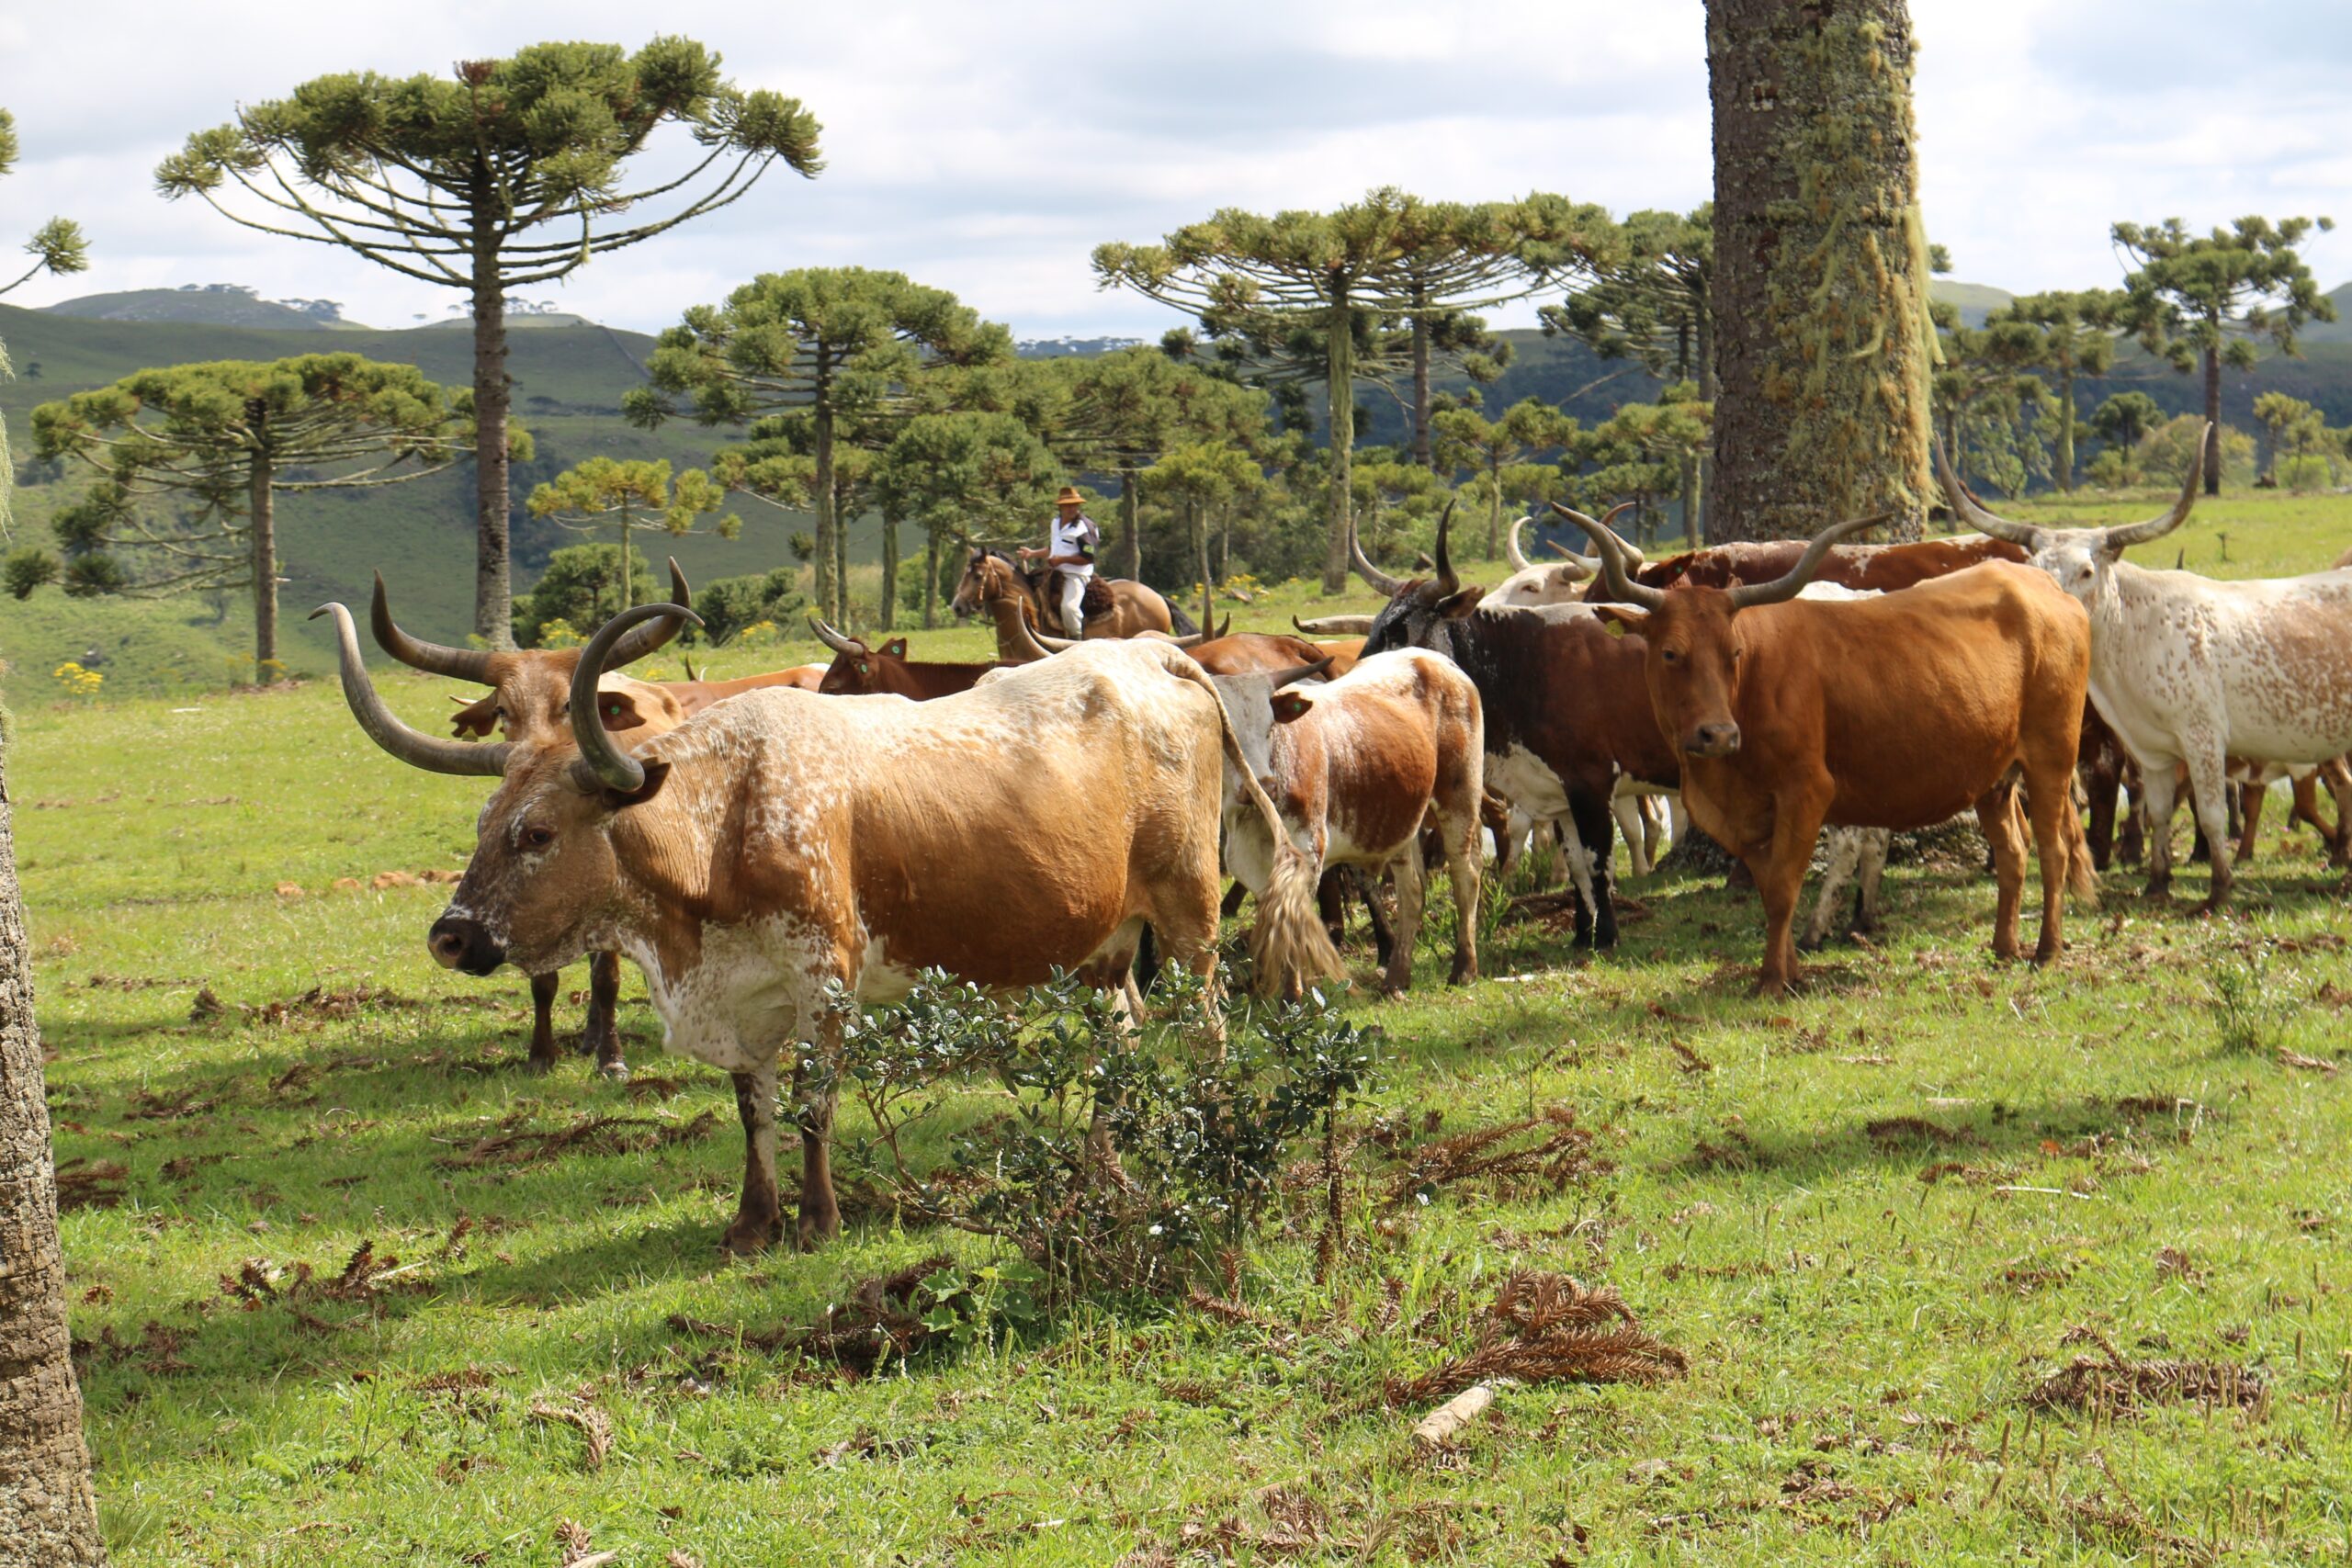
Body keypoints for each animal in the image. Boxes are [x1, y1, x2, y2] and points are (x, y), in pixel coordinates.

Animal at [322, 597, 1336, 1250]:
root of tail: (1154, 655)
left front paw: (817, 1221)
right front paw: (752, 1220)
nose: (451, 935)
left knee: (1204, 1029)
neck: (724, 816)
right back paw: (1102, 1172)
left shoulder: (826, 979)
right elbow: (752, 1105)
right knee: (1119, 1035)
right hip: (1100, 942)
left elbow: (813, 1102)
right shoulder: (743, 996)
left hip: (1187, 908)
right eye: (483, 824)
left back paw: (1208, 1143)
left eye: (536, 834)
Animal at [1213, 649, 1486, 991]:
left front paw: (1292, 996)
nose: (1264, 786)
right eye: (1226, 736)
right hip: (1402, 816)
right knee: (1411, 890)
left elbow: (1293, 920)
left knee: (1466, 877)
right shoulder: (1252, 862)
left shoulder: (1308, 849)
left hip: (1460, 797)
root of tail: (1433, 658)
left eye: (1269, 727)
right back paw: (1396, 979)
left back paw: (1464, 968)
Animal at [1561, 502, 2098, 991]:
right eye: (1671, 653)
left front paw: (1773, 979)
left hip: (2051, 756)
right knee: (2013, 851)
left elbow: (1783, 889)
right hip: (1993, 776)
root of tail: (2042, 585)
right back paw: (2004, 948)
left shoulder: (1807, 791)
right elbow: (1770, 888)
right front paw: (1792, 971)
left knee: (2053, 848)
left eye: (1734, 652)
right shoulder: (1747, 816)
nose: (1719, 735)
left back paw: (2046, 951)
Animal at [1938, 434, 2352, 911]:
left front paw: (2218, 890)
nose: (2050, 614)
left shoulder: (2203, 739)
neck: (2133, 633)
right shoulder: (2150, 750)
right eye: (2035, 571)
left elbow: (2211, 815)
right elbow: (2159, 812)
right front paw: (2157, 883)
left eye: (2087, 571)